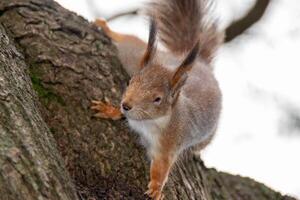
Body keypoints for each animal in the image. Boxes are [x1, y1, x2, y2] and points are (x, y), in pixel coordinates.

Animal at [91, 0, 223, 199]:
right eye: (129, 81)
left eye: (157, 99)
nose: (126, 105)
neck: (148, 122)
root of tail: (200, 63)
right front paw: (110, 110)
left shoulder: (169, 144)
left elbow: (161, 168)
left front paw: (156, 188)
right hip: (135, 56)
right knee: (131, 42)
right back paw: (106, 28)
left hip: (206, 137)